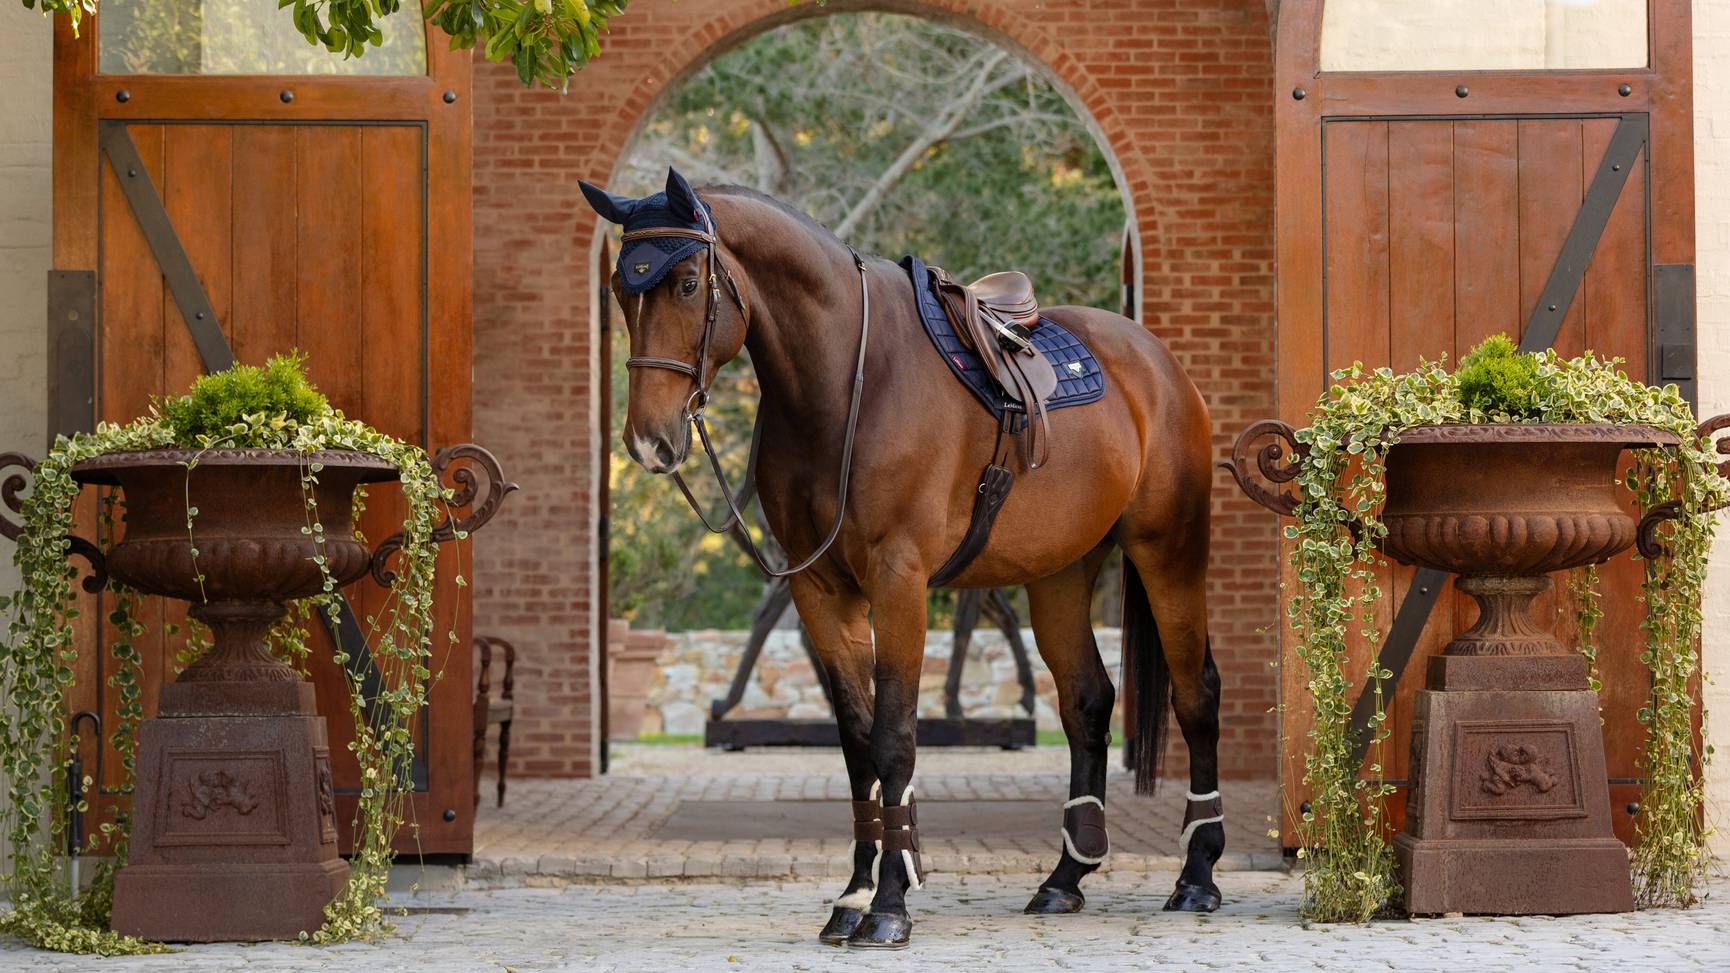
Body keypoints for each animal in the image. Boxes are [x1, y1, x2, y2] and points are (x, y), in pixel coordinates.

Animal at [582, 169, 1223, 949]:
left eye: (684, 282)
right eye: (621, 289)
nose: (649, 441)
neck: (843, 386)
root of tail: (1158, 365)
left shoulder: (899, 580)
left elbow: (895, 737)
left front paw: (890, 902)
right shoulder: (820, 588)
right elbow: (859, 742)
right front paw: (853, 895)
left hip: (1171, 554)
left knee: (1197, 693)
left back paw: (1197, 875)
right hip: (1060, 575)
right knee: (1086, 701)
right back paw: (1064, 878)